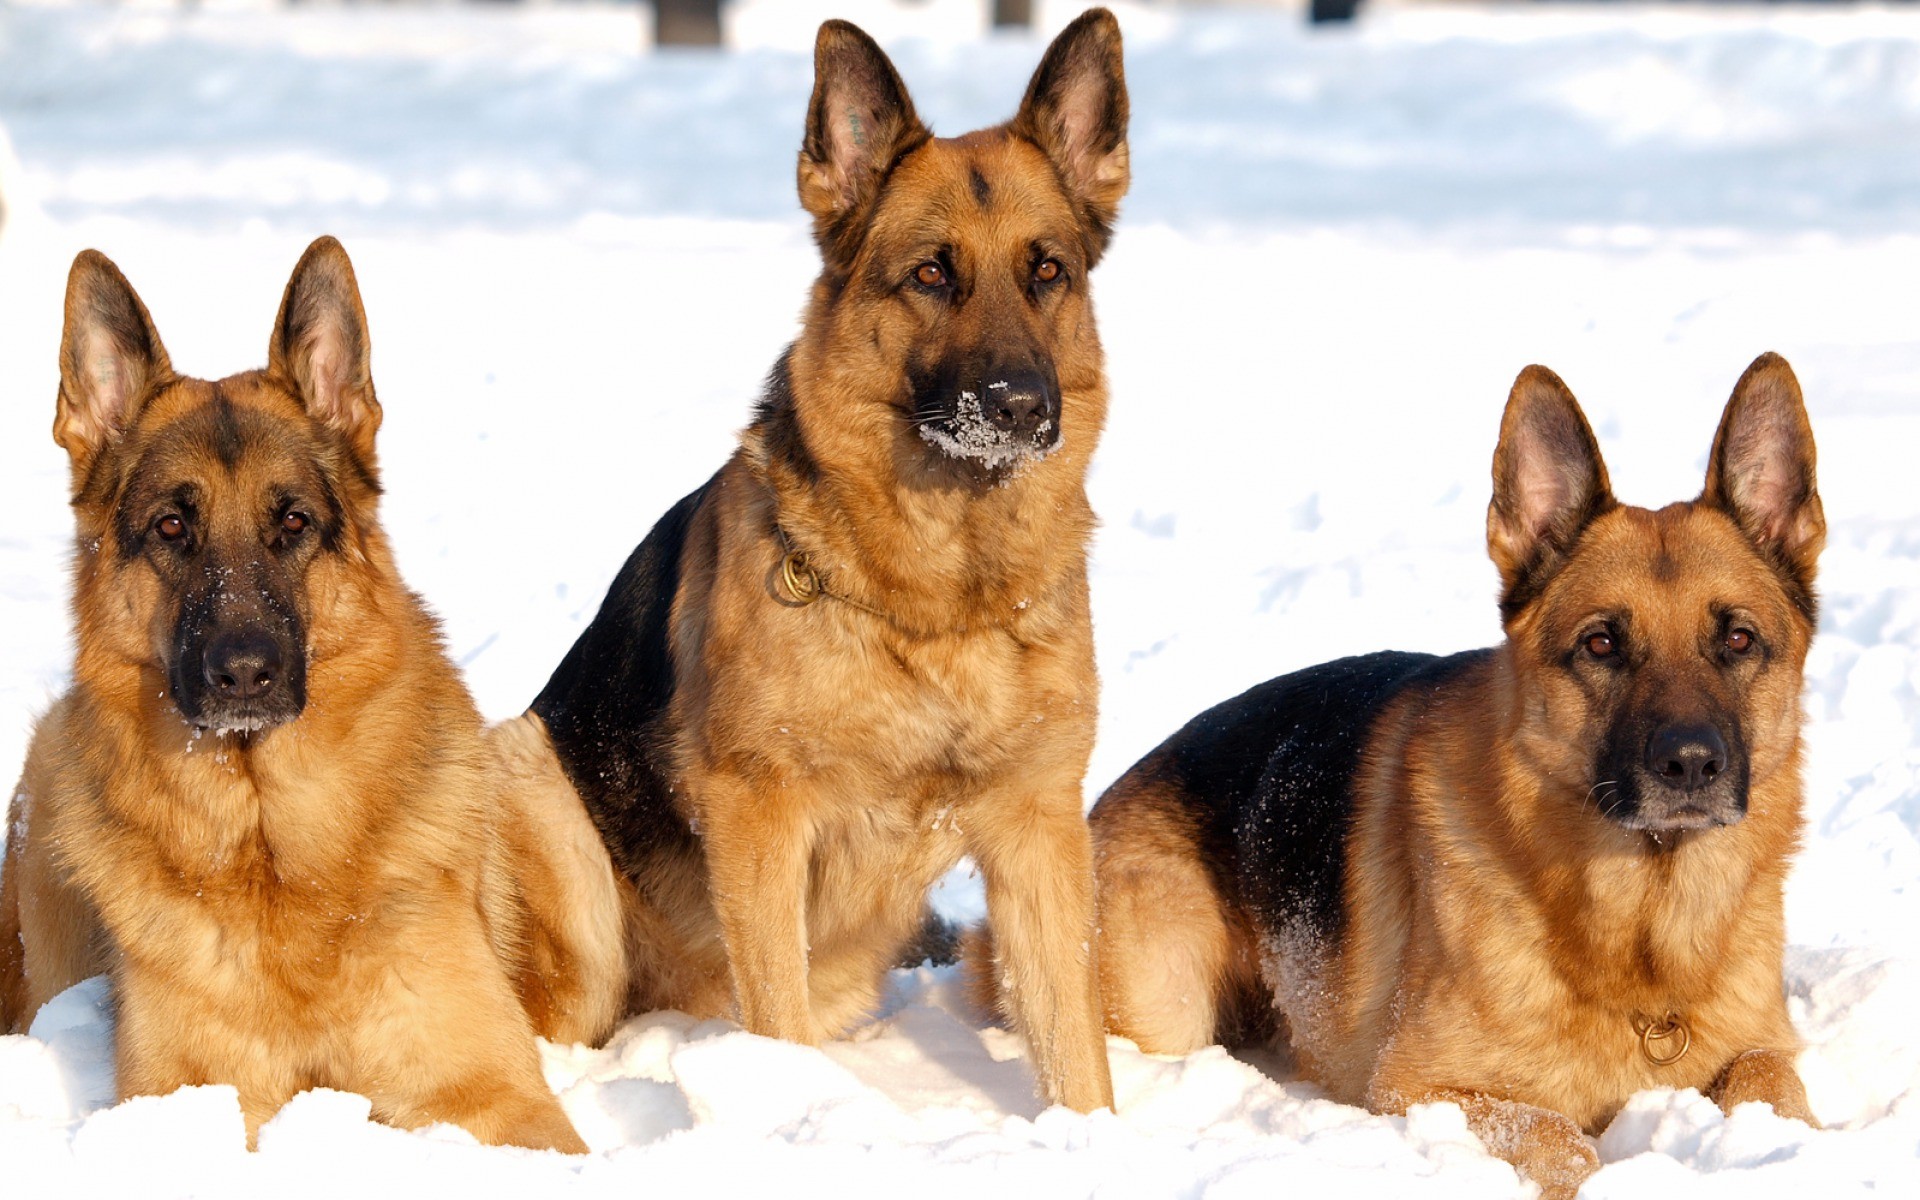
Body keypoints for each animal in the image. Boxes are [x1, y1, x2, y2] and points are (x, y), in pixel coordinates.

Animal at [0, 239, 606, 1144]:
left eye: (293, 523)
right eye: (172, 527)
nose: (246, 673)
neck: (271, 848)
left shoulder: (491, 1097)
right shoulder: (196, 1104)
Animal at [487, 11, 1128, 1113]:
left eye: (1048, 271)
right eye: (930, 274)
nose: (1021, 406)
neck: (938, 602)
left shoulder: (1038, 833)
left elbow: (1076, 1053)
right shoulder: (760, 815)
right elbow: (776, 1019)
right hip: (538, 788)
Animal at [1067, 353, 1827, 1190]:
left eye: (1738, 639)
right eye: (1600, 644)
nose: (1690, 763)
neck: (1642, 935)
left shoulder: (1763, 1047)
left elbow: (1772, 1085)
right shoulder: (1421, 1090)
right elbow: (1561, 1137)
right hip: (1165, 1000)